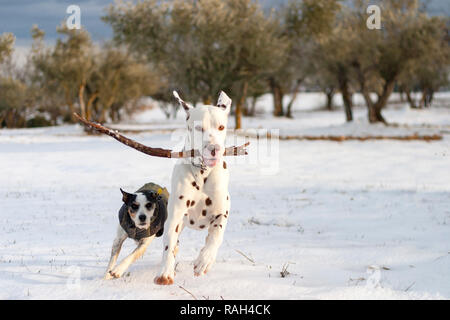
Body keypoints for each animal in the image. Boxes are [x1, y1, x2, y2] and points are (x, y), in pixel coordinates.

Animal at [154, 90, 232, 284]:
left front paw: (204, 260)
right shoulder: (175, 216)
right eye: (198, 128)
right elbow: (169, 242)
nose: (213, 148)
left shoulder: (223, 212)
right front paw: (165, 272)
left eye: (221, 127)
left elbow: (216, 236)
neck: (203, 173)